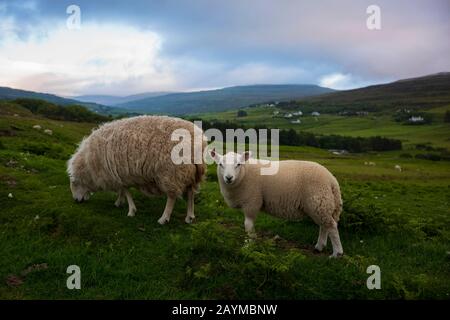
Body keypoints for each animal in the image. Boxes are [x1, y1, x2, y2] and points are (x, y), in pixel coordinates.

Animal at [67, 115, 207, 225]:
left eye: (74, 183)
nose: (76, 201)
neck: (90, 164)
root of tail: (197, 141)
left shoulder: (121, 174)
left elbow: (126, 191)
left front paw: (131, 211)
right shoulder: (119, 174)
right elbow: (122, 190)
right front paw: (119, 202)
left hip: (171, 172)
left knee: (172, 196)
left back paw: (164, 218)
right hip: (189, 172)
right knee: (190, 193)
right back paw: (189, 217)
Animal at [211, 149, 344, 258]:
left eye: (238, 164)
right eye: (220, 164)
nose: (228, 178)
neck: (244, 174)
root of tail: (332, 180)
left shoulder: (251, 202)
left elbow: (248, 225)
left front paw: (248, 245)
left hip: (318, 201)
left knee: (331, 226)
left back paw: (337, 253)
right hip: (321, 203)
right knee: (324, 225)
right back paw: (319, 247)